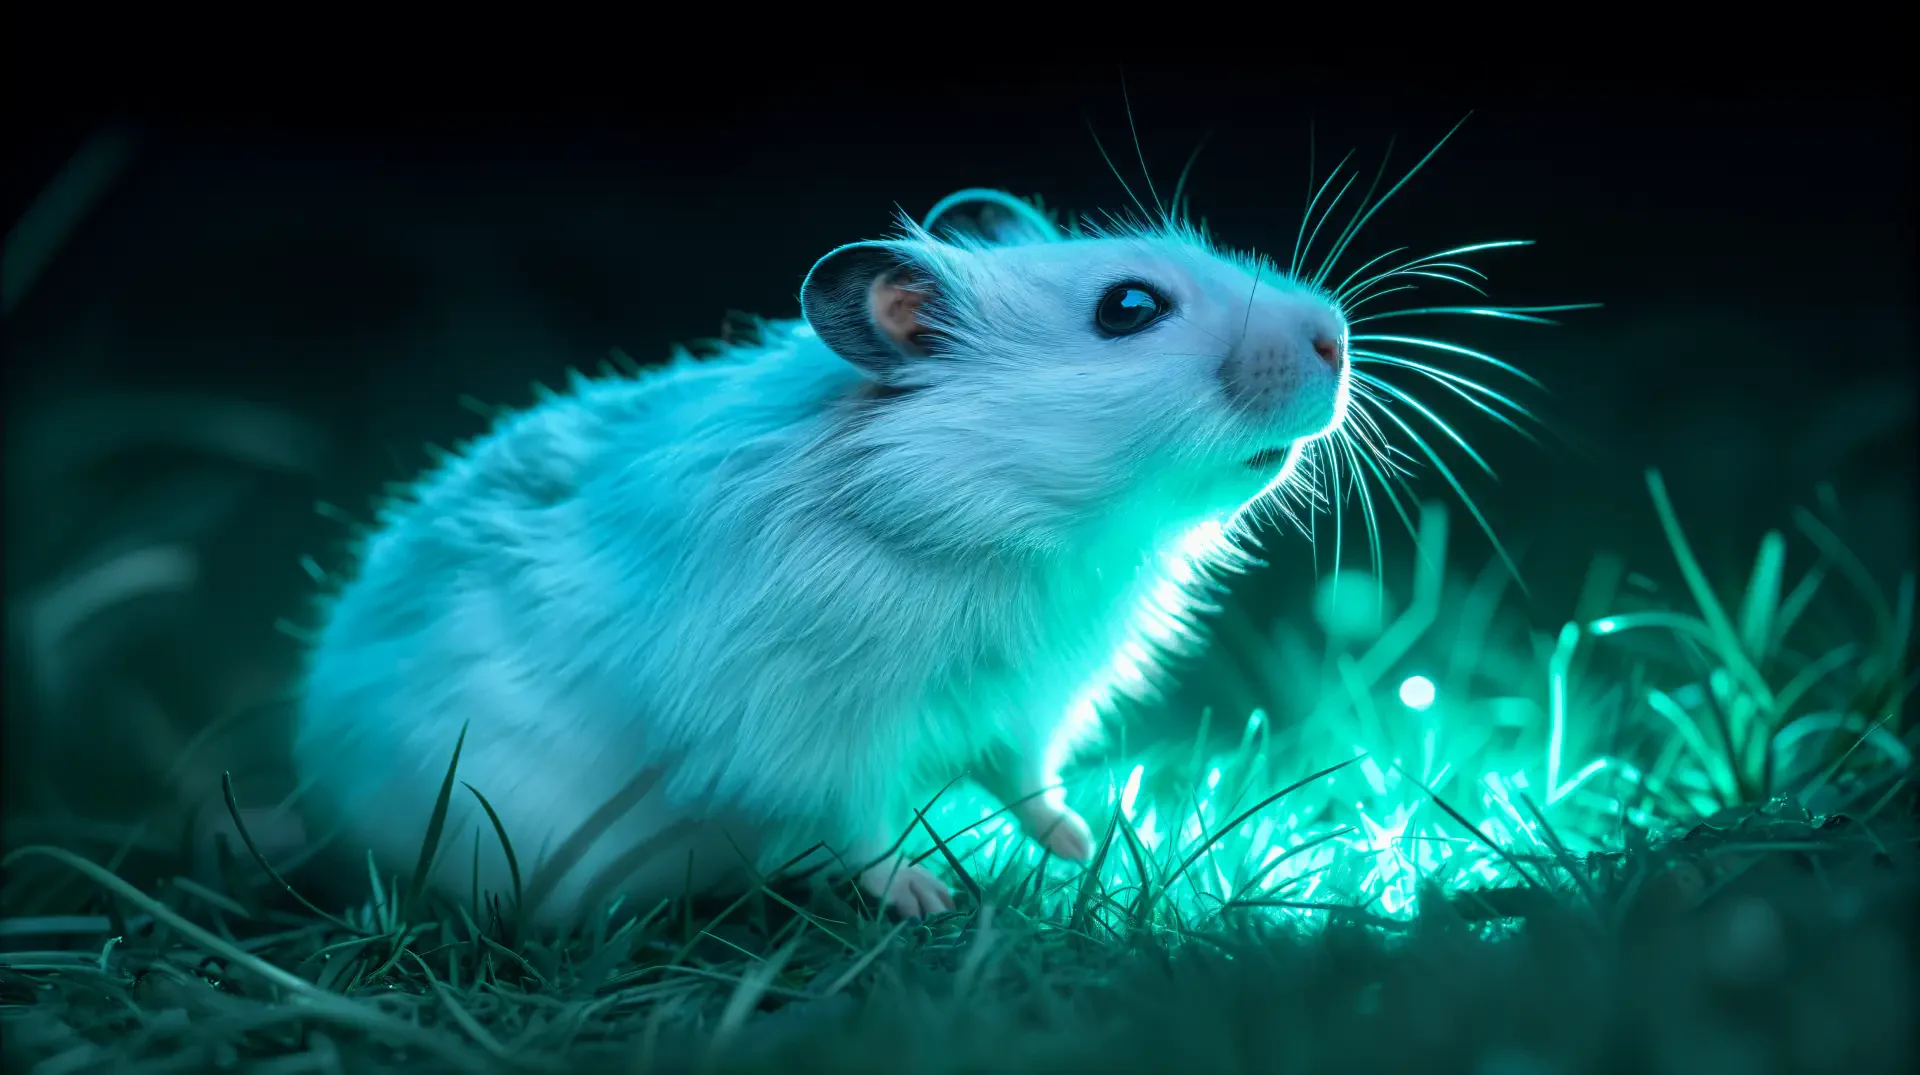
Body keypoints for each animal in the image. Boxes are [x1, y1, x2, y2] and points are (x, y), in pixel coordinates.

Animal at [290, 188, 1351, 926]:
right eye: (1129, 306)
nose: (1337, 336)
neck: (1014, 525)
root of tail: (319, 804)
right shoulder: (812, 735)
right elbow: (861, 824)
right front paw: (927, 897)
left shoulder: (1028, 701)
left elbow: (1025, 776)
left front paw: (1084, 840)